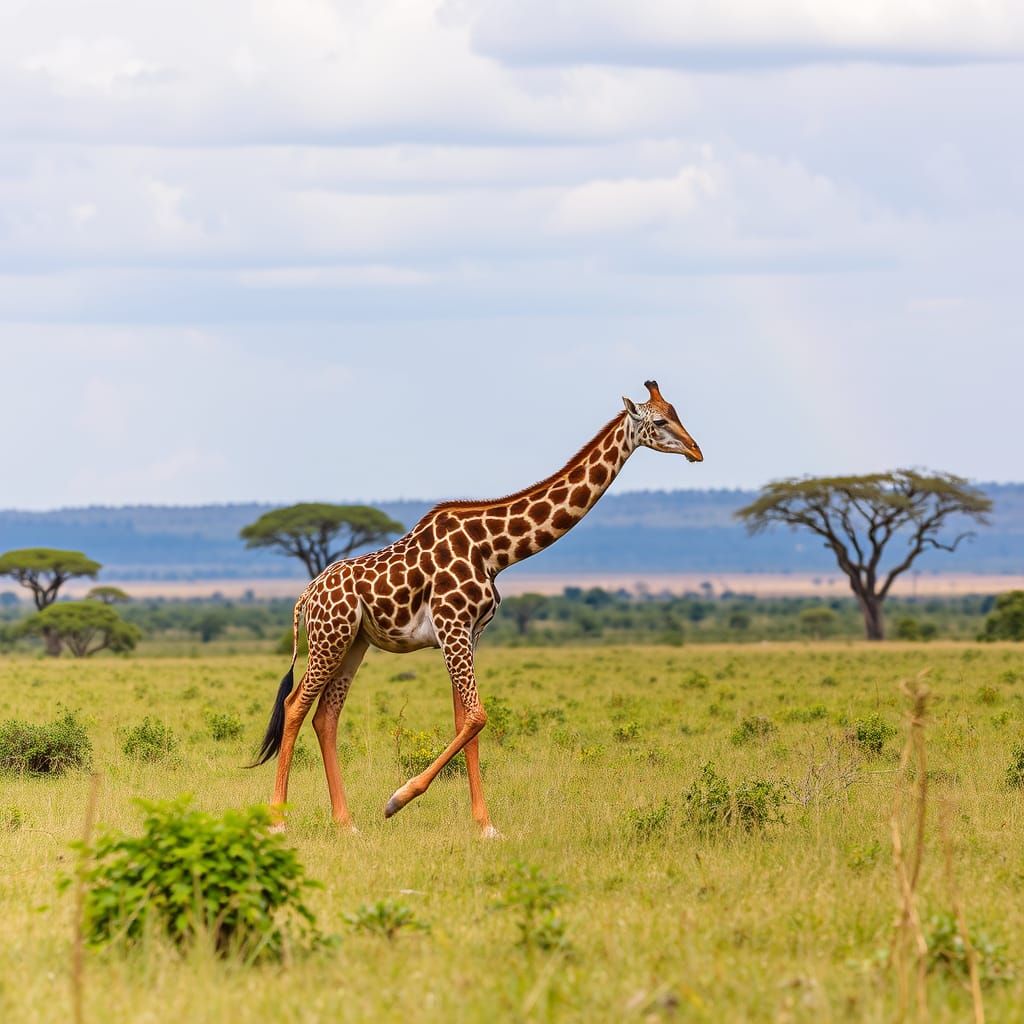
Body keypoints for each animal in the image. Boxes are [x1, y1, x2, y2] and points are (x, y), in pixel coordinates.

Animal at [252, 380, 702, 837]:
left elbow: (466, 723)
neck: (494, 551)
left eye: (677, 412)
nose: (696, 451)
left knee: (326, 716)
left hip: (353, 642)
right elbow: (478, 717)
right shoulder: (452, 627)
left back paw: (346, 823)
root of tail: (307, 594)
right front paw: (397, 799)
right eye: (659, 421)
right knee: (295, 706)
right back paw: (278, 820)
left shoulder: (469, 633)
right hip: (330, 638)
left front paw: (485, 825)